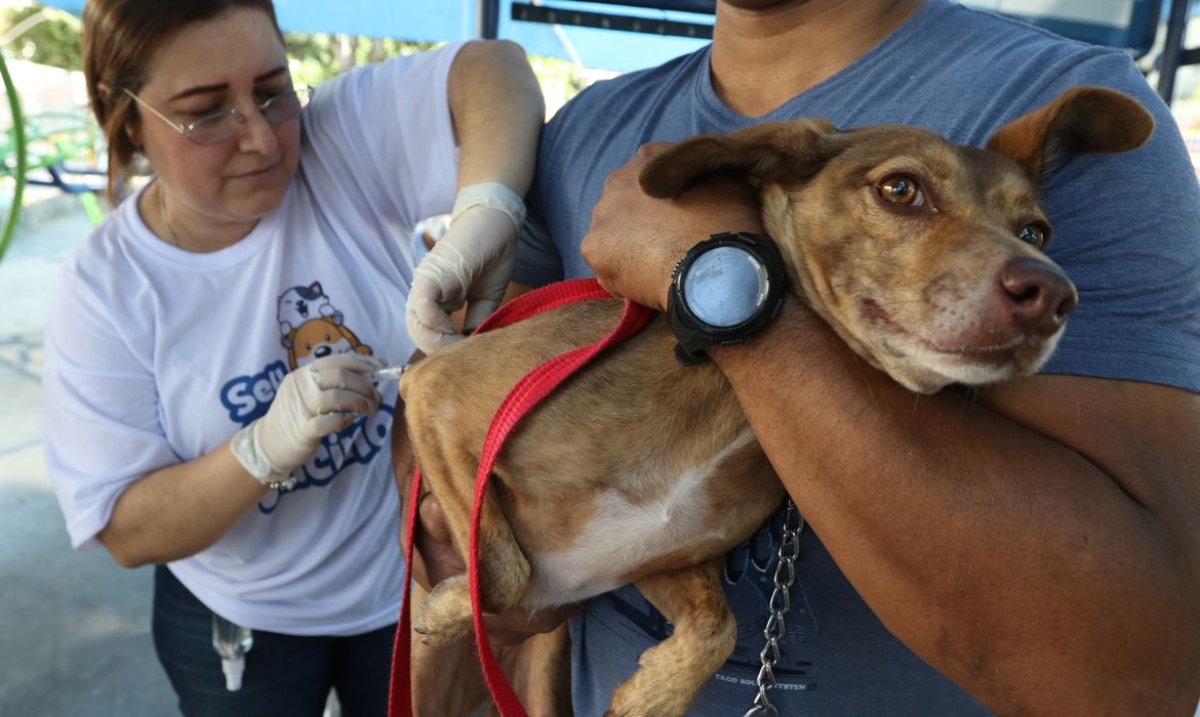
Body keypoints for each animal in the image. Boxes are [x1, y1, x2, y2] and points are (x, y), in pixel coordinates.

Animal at [400, 86, 1152, 714]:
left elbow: (718, 626)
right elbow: (505, 574)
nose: (1052, 295)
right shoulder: (433, 391)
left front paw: (653, 694)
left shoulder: (656, 555)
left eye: (1036, 232)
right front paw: (449, 603)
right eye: (900, 189)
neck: (726, 401)